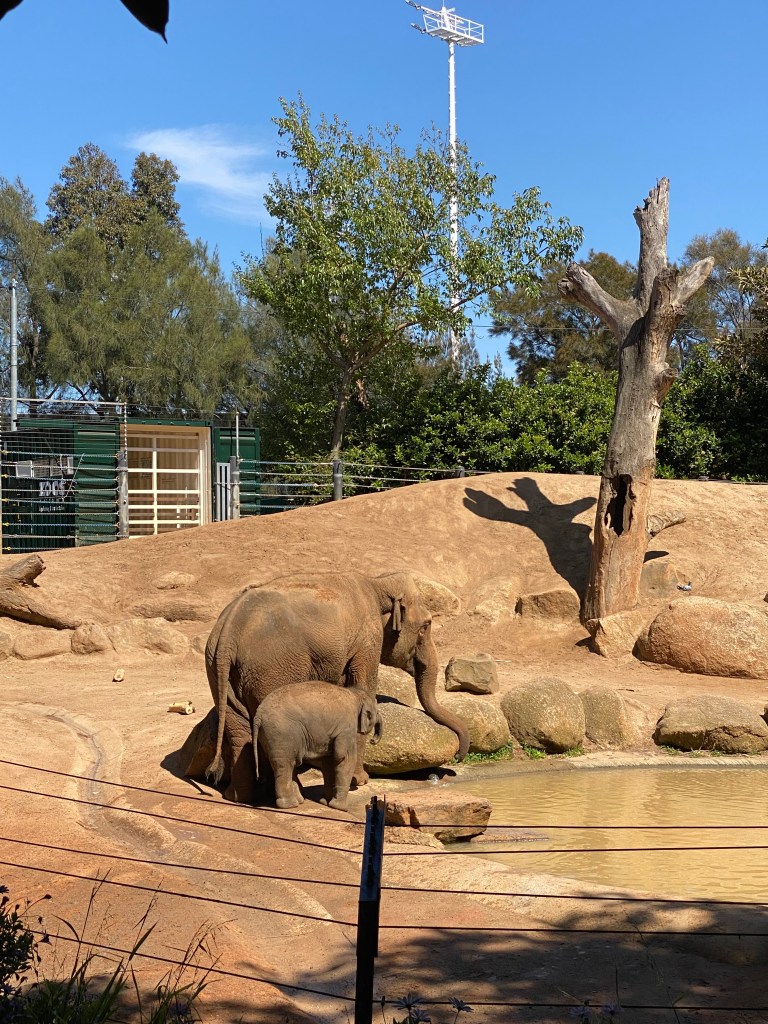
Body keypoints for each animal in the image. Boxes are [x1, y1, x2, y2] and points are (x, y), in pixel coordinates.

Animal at [253, 681, 383, 810]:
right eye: (376, 712)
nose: (372, 740)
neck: (355, 694)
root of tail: (258, 715)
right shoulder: (347, 726)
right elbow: (345, 758)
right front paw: (341, 808)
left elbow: (329, 761)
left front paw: (325, 803)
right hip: (282, 733)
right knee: (285, 764)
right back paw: (290, 805)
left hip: (270, 736)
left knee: (288, 763)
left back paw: (299, 801)